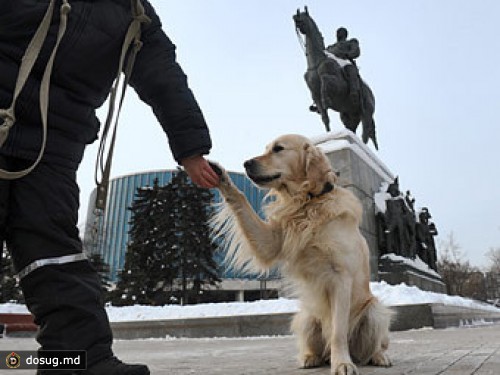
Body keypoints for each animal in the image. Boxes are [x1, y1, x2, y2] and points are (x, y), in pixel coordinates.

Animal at [211, 134, 390, 374]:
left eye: (278, 149)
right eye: (265, 149)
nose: (246, 163)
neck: (308, 201)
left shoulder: (340, 277)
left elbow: (338, 332)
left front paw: (342, 363)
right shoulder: (271, 242)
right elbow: (241, 201)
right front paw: (221, 176)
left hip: (375, 311)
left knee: (374, 346)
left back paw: (378, 356)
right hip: (306, 317)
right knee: (316, 348)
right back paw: (310, 357)